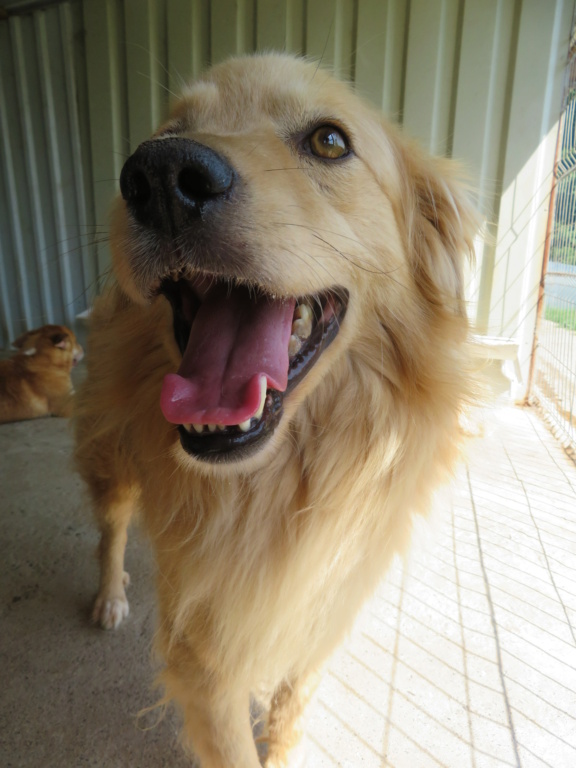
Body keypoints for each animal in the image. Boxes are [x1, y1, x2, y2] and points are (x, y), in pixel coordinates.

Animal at [74, 55, 480, 768]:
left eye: (329, 141)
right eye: (169, 131)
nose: (160, 175)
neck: (278, 486)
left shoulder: (324, 603)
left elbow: (290, 711)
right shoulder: (206, 655)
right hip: (110, 460)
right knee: (112, 526)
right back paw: (110, 595)